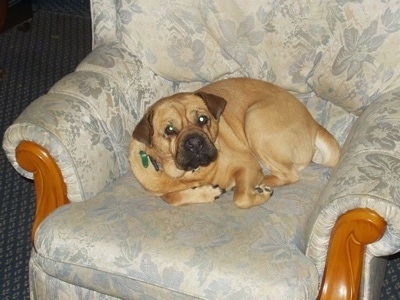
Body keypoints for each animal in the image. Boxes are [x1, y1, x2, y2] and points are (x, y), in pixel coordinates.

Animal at [129, 77, 340, 209]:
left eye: (203, 119)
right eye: (169, 130)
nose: (195, 142)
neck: (191, 175)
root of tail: (313, 124)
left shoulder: (246, 164)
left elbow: (240, 198)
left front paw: (258, 193)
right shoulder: (161, 190)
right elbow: (171, 197)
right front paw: (206, 193)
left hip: (255, 120)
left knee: (289, 175)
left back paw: (262, 182)